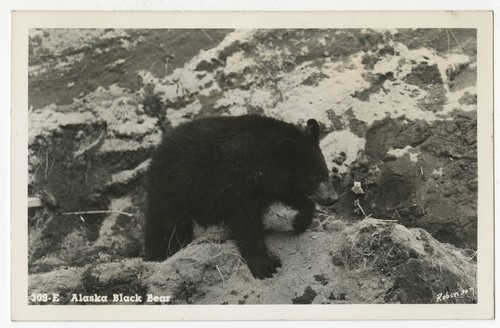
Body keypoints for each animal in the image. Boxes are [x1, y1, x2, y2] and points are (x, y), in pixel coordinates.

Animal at [145, 114, 340, 278]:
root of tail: (157, 152)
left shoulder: (270, 186)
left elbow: (293, 197)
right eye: (313, 177)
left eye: (325, 173)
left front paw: (299, 222)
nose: (332, 199)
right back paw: (160, 256)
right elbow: (245, 224)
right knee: (165, 226)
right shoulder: (235, 185)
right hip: (174, 190)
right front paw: (264, 266)